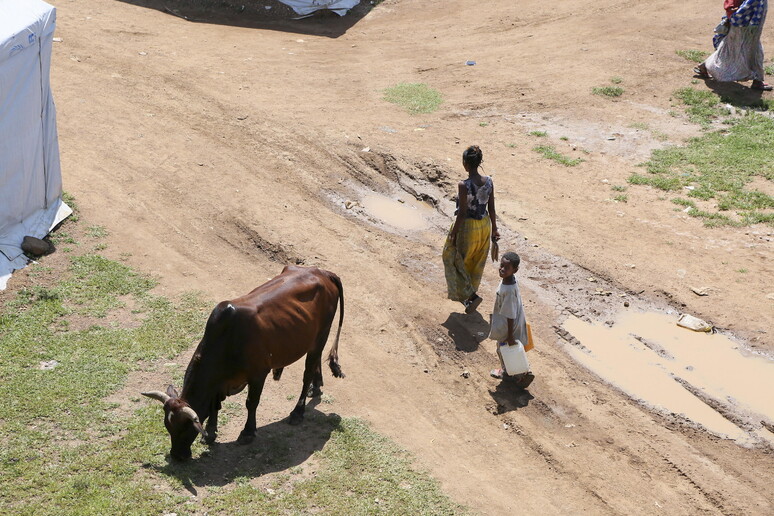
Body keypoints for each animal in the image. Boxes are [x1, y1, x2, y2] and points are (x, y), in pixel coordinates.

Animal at [142, 266, 342, 460]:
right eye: (168, 426)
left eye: (186, 428)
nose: (176, 455)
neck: (227, 340)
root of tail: (323, 272)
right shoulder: (219, 382)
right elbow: (215, 405)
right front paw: (211, 433)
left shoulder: (258, 374)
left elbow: (251, 403)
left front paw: (247, 432)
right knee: (316, 362)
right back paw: (316, 386)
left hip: (321, 335)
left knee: (307, 373)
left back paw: (298, 412)